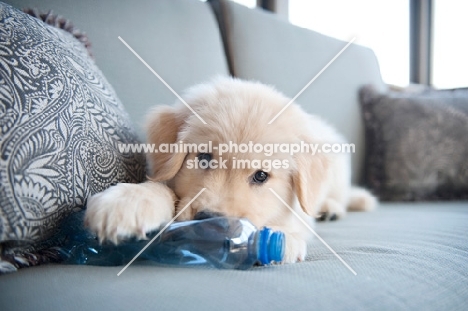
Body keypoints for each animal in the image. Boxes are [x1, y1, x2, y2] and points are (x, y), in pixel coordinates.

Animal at [84, 77, 376, 264]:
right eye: (203, 158)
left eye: (261, 175)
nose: (211, 221)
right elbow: (161, 189)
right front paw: (128, 202)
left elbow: (294, 221)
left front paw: (282, 240)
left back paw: (331, 208)